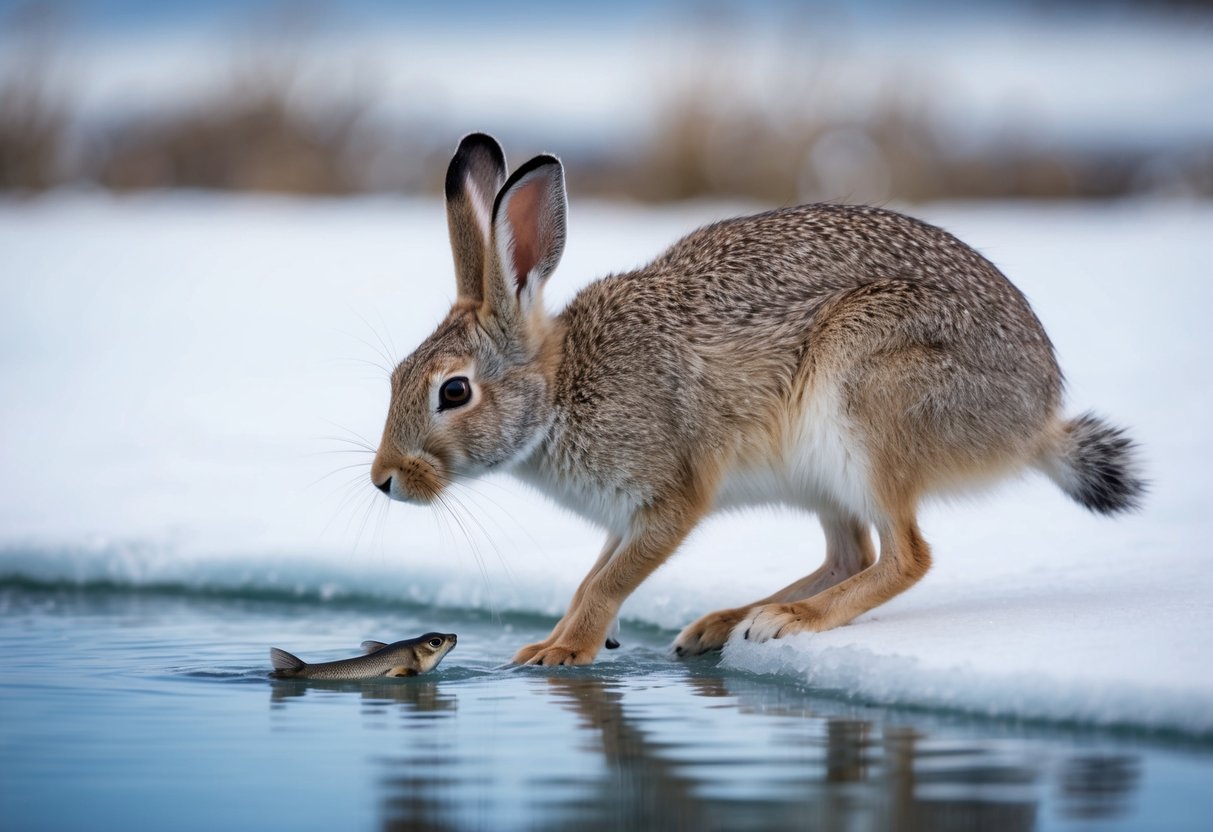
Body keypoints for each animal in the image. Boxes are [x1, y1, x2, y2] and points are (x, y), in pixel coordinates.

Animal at [370, 133, 1144, 666]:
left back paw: (785, 621)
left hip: (863, 399)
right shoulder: (624, 515)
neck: (560, 390)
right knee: (852, 554)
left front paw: (560, 653)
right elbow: (590, 577)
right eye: (396, 377)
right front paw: (551, 642)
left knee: (905, 557)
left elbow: (608, 582)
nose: (384, 480)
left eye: (454, 390)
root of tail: (1034, 419)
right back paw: (726, 622)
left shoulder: (671, 496)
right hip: (822, 470)